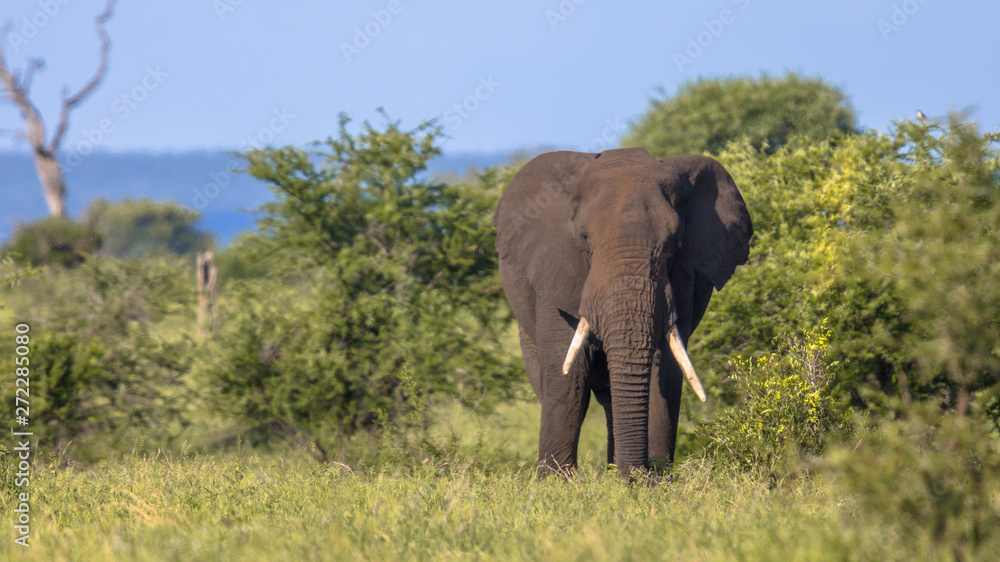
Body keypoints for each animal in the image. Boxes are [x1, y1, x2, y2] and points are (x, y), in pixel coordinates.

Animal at [493, 147, 752, 478]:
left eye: (674, 244)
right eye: (584, 238)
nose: (634, 475)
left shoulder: (682, 282)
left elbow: (663, 369)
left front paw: (651, 480)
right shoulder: (555, 271)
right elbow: (569, 377)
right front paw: (556, 482)